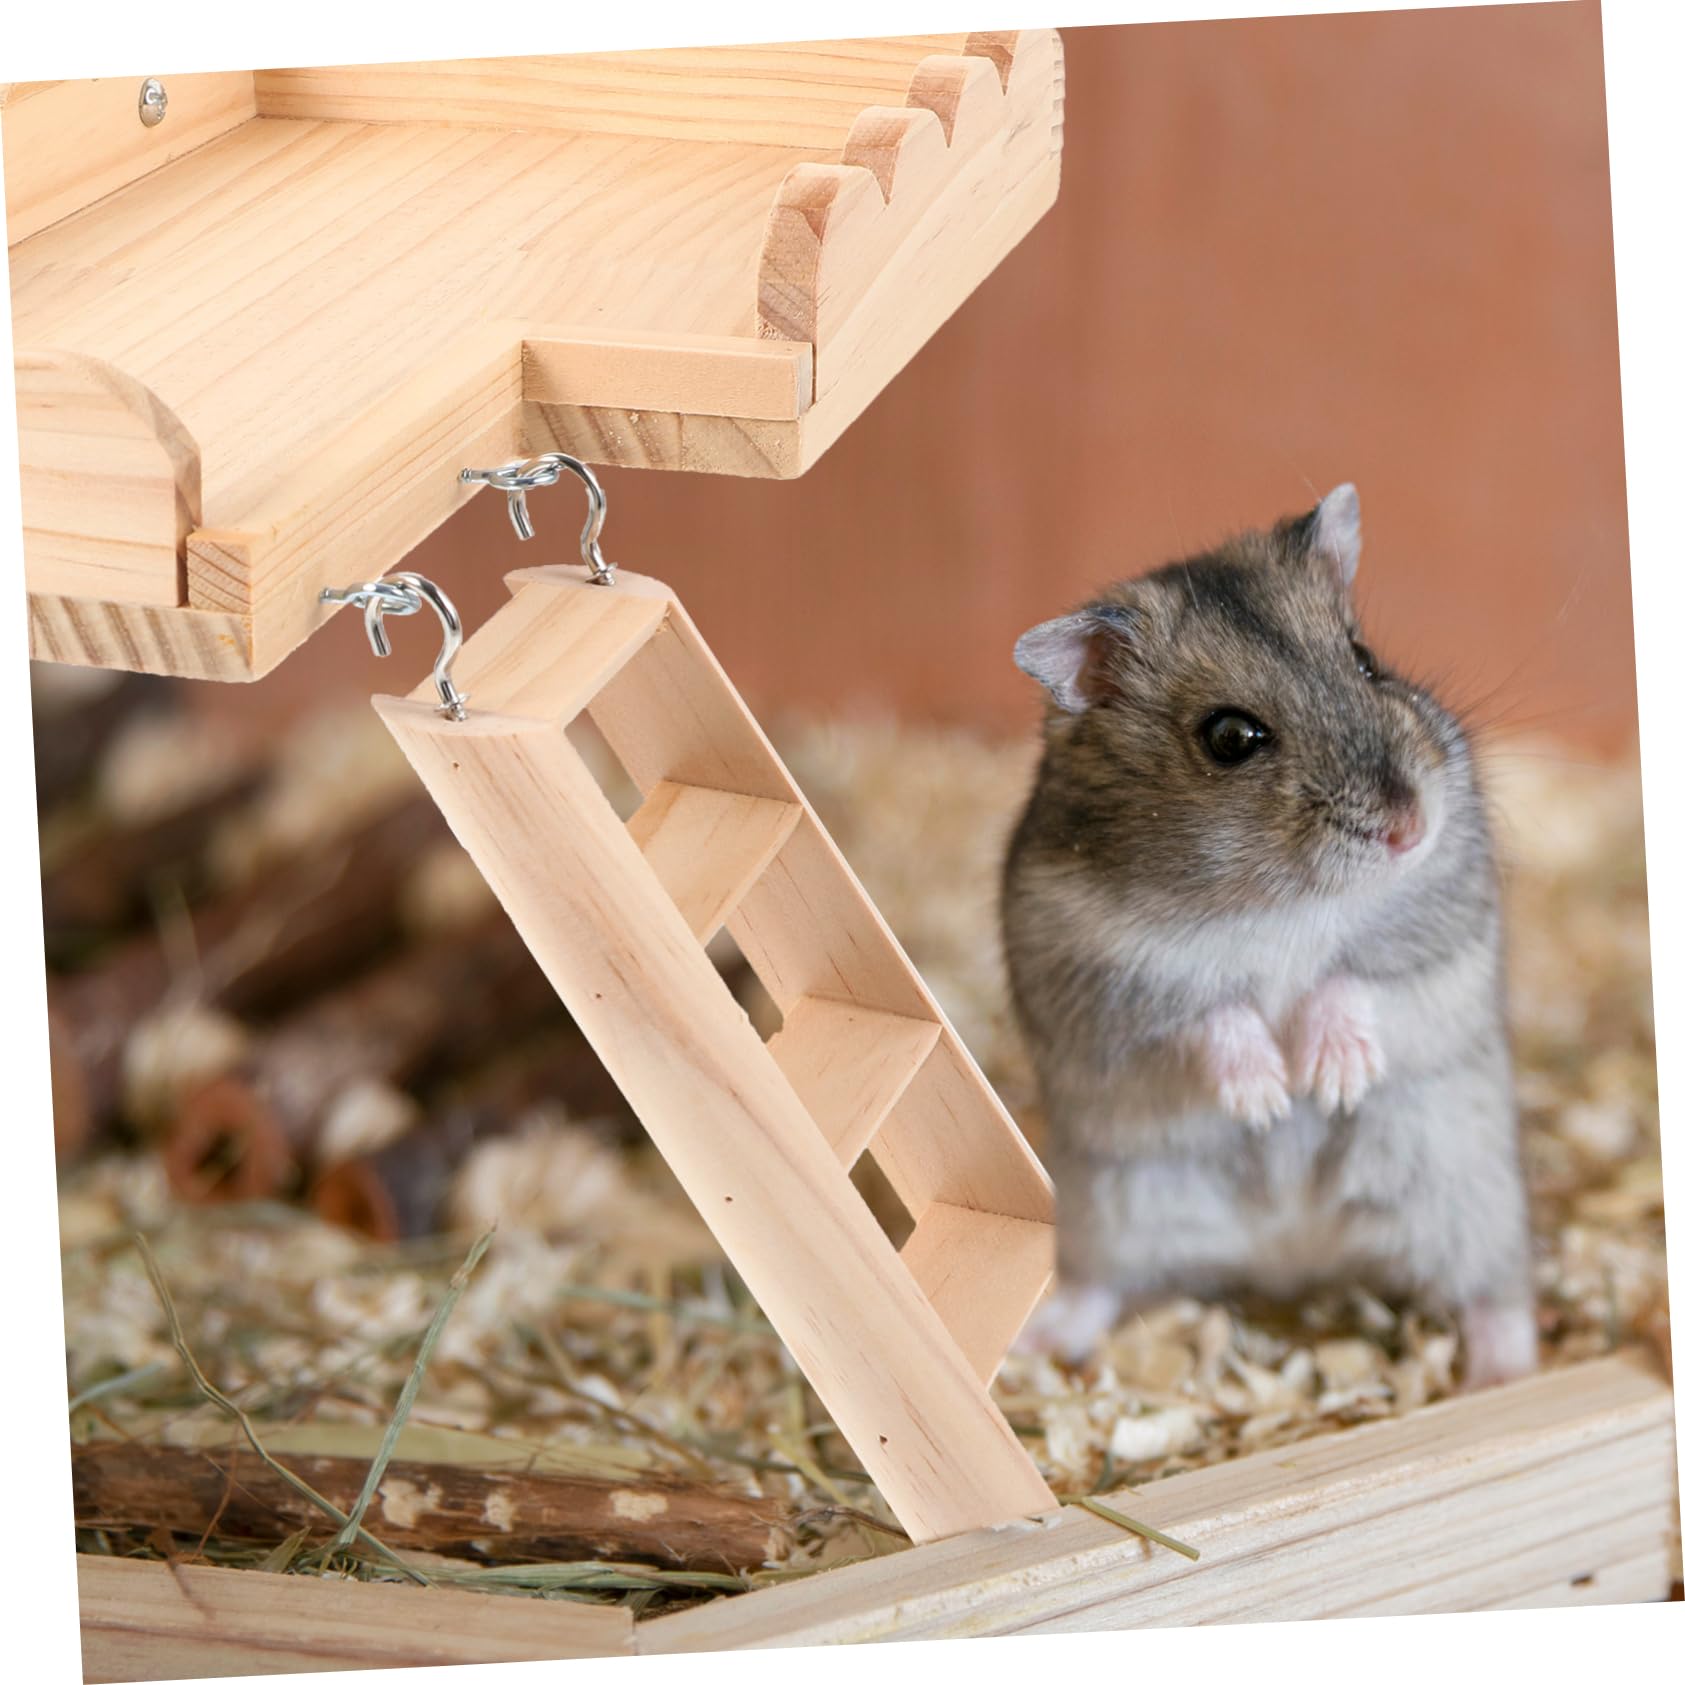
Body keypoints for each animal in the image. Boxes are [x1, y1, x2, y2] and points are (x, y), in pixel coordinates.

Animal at [1001, 485, 1537, 1388]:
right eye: (1229, 738)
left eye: (1364, 659)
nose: (1409, 828)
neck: (1278, 898)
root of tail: (1292, 1257)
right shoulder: (1102, 978)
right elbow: (1208, 1012)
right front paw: (1267, 1098)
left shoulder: (1439, 927)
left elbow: (1351, 978)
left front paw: (1330, 1082)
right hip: (1109, 1215)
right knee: (1098, 1287)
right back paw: (1030, 1347)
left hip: (1465, 1195)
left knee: (1493, 1295)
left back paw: (1501, 1377)